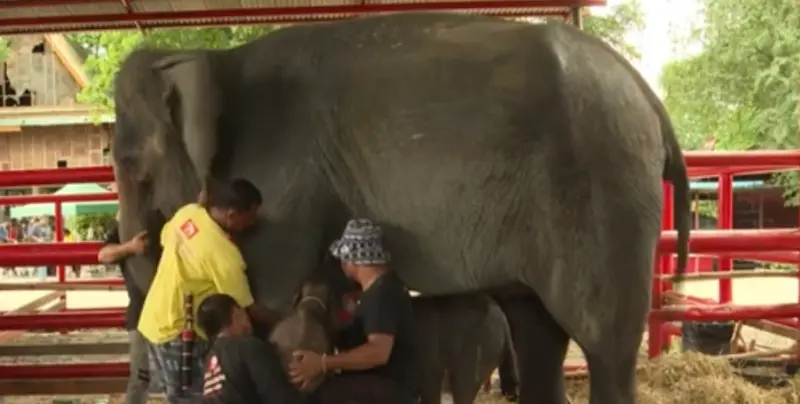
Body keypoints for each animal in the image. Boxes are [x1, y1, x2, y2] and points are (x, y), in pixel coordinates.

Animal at [111, 12, 688, 404]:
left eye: (128, 162)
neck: (206, 59)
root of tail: (646, 93)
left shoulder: (285, 186)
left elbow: (268, 300)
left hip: (605, 189)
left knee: (602, 343)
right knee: (538, 330)